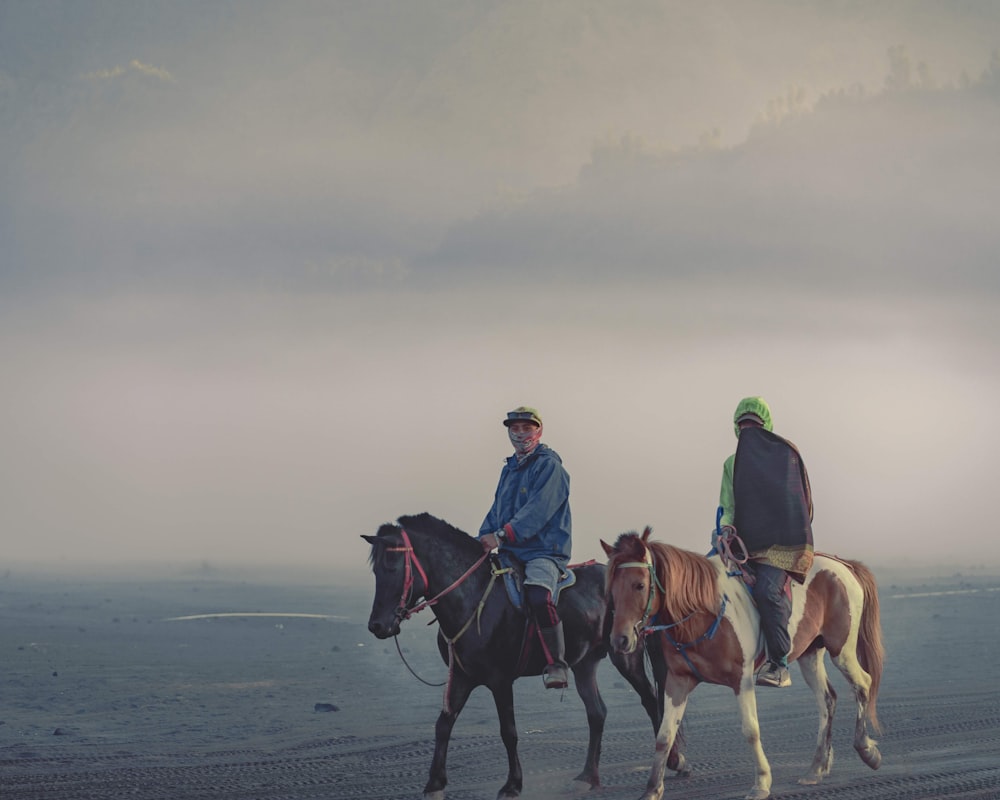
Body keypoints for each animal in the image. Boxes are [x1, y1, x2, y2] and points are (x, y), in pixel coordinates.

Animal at [362, 516, 688, 796]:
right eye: (375, 571)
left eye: (393, 568)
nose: (378, 625)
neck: (473, 599)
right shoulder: (463, 676)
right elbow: (443, 724)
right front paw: (434, 783)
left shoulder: (500, 680)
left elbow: (509, 731)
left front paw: (512, 785)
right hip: (584, 664)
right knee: (597, 713)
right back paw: (588, 777)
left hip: (626, 656)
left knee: (651, 701)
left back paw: (675, 762)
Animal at [600, 524, 884, 800]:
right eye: (610, 588)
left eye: (639, 585)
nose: (620, 640)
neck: (703, 613)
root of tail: (844, 566)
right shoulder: (678, 681)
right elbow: (664, 735)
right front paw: (652, 789)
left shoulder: (742, 680)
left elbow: (751, 730)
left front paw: (761, 783)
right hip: (810, 654)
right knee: (827, 699)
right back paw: (816, 768)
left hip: (842, 650)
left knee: (863, 683)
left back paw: (867, 751)